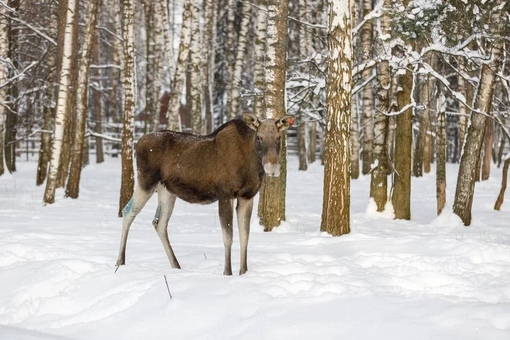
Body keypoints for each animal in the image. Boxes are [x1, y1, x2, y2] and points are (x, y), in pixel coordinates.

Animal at [113, 113, 292, 274]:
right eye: (259, 137)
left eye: (278, 138)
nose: (272, 168)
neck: (252, 164)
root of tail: (138, 143)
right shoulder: (225, 194)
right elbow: (228, 236)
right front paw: (227, 272)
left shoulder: (247, 196)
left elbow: (245, 237)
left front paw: (243, 272)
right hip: (146, 181)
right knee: (128, 212)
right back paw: (120, 261)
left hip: (167, 191)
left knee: (159, 222)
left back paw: (176, 265)